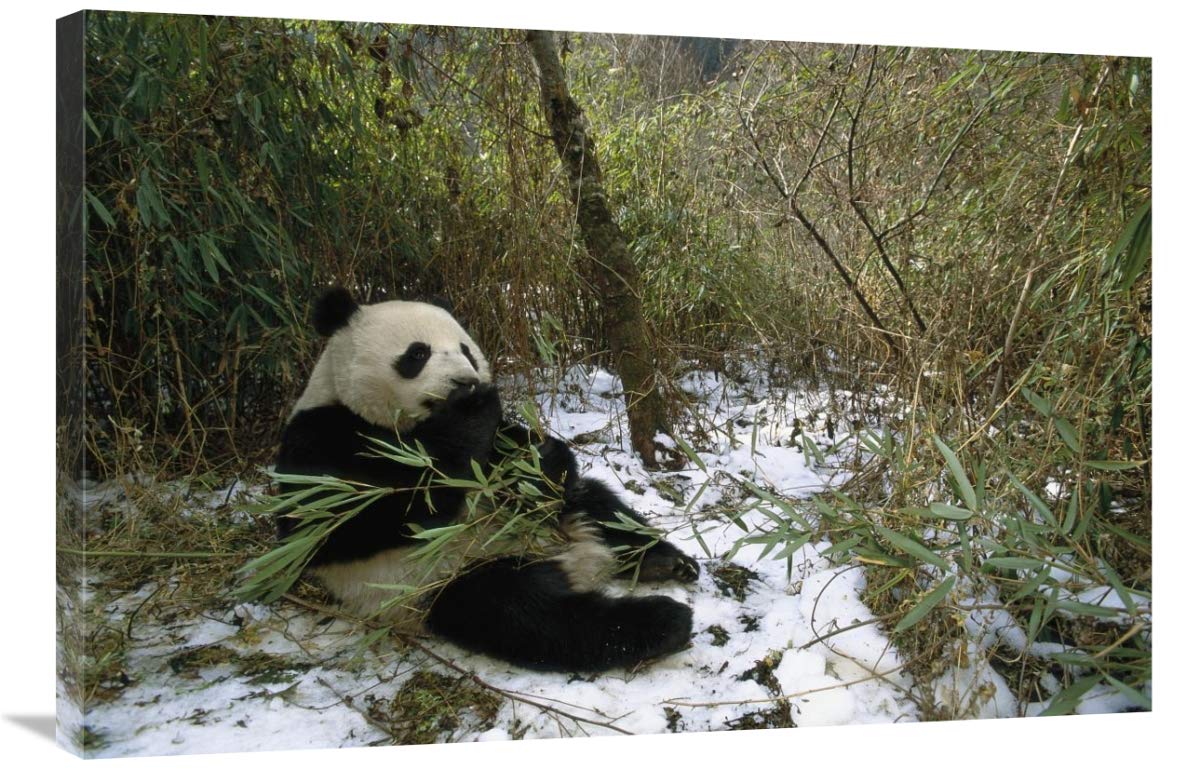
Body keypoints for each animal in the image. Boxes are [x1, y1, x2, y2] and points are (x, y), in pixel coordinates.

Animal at [274, 287, 700, 672]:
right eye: (417, 354)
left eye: (465, 350)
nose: (466, 382)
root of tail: (574, 558)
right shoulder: (322, 436)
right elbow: (355, 516)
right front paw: (470, 412)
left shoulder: (497, 441)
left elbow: (520, 457)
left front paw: (541, 459)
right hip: (437, 578)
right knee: (529, 615)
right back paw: (661, 622)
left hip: (560, 518)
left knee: (600, 507)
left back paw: (666, 562)